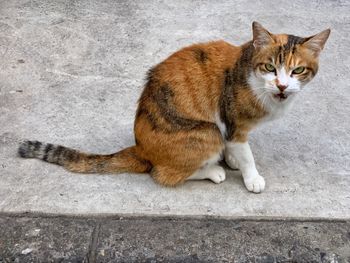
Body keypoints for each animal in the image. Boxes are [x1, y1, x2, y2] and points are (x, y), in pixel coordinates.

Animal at [18, 22, 330, 194]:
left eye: (298, 70)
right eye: (269, 67)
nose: (282, 85)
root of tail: (141, 148)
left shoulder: (231, 128)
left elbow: (234, 148)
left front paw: (232, 159)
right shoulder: (233, 122)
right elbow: (246, 153)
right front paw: (251, 176)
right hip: (206, 132)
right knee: (162, 173)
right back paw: (211, 171)